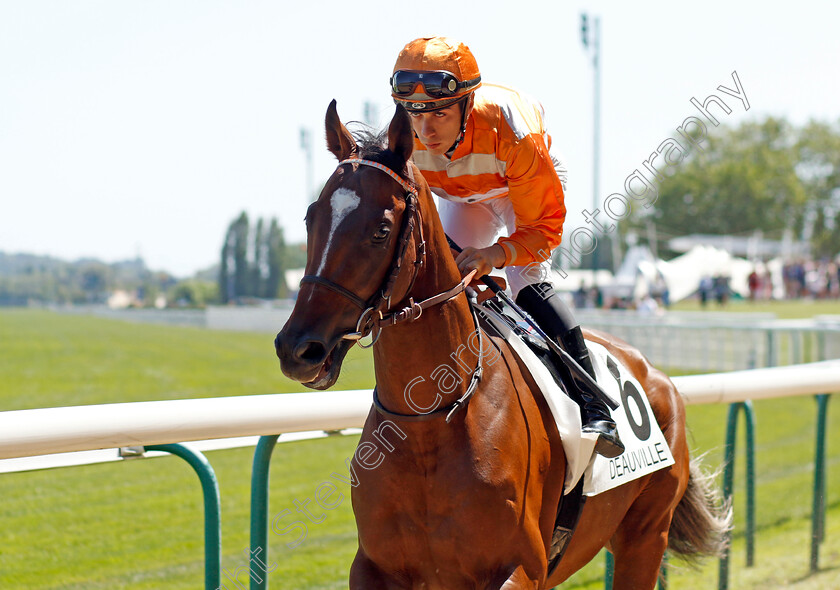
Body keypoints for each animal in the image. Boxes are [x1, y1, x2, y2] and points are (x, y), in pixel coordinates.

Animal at [276, 103, 728, 590]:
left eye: (381, 230)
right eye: (311, 218)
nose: (297, 348)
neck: (428, 423)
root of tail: (657, 374)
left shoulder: (521, 566)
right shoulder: (374, 565)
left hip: (645, 536)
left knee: (533, 283)